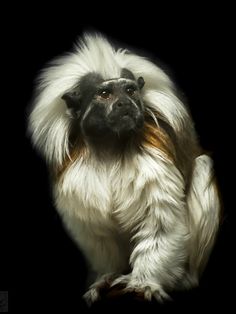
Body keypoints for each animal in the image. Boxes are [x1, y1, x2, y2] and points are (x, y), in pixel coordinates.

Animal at [28, 33, 221, 306]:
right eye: (105, 94)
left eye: (130, 90)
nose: (124, 103)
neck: (111, 148)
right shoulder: (77, 179)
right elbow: (97, 232)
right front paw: (104, 278)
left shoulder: (155, 165)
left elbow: (160, 224)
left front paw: (144, 283)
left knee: (203, 166)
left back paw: (185, 280)